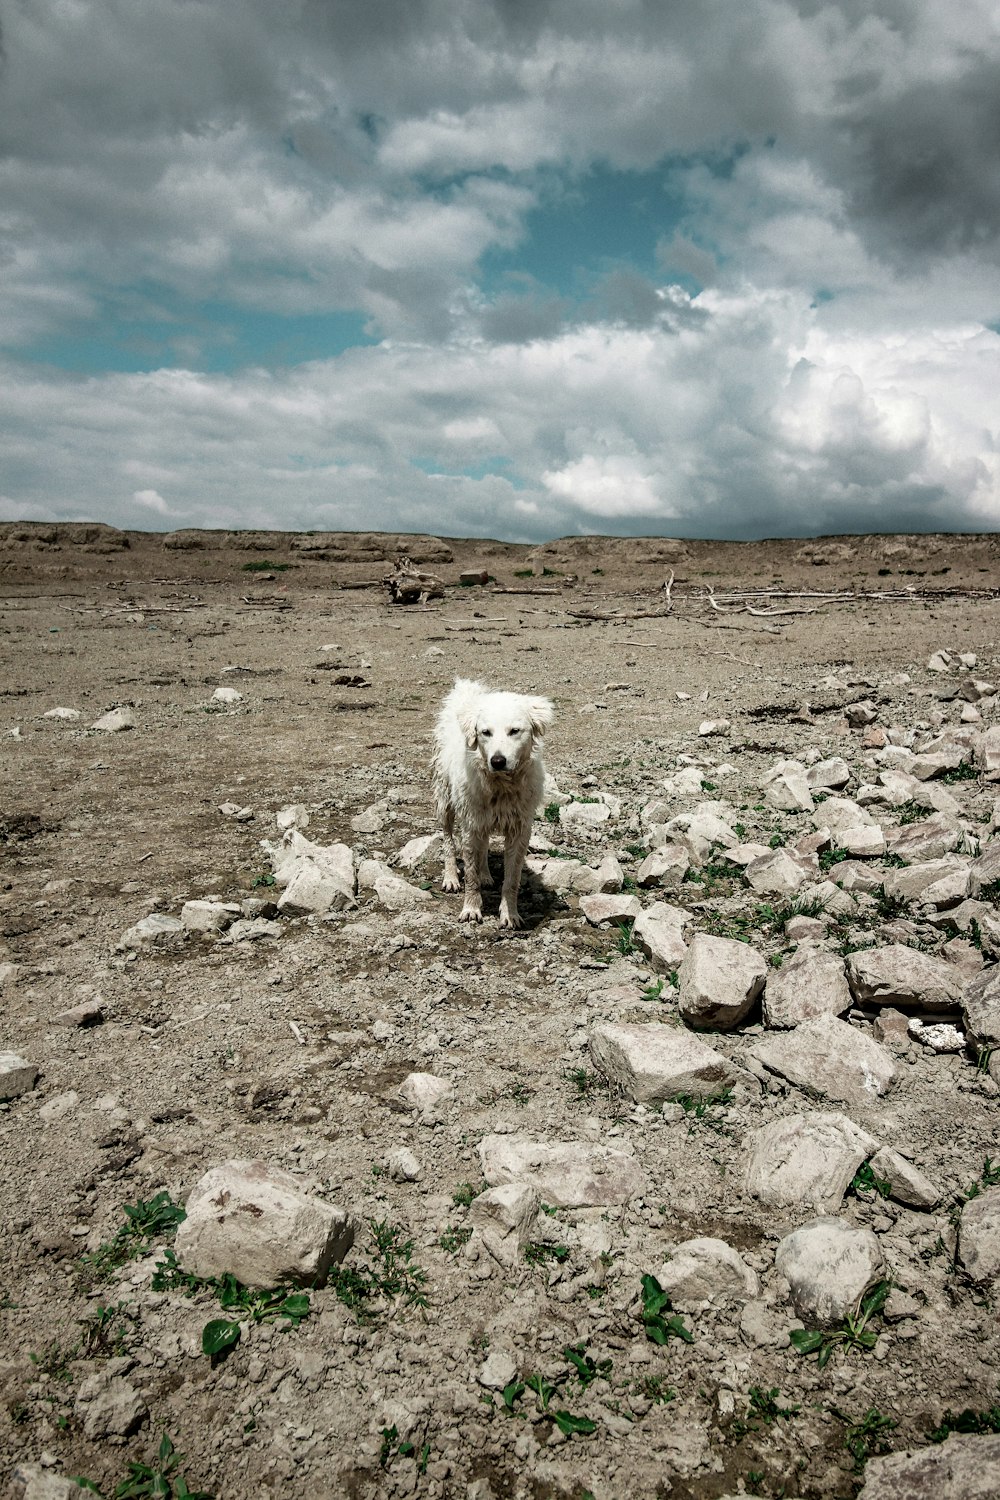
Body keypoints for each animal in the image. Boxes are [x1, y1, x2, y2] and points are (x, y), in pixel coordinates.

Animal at [431, 678, 554, 924]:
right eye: (485, 732)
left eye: (514, 731)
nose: (497, 761)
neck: (501, 786)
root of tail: (466, 689)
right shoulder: (470, 824)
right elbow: (470, 875)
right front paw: (471, 909)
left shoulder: (519, 829)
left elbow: (512, 879)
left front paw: (510, 914)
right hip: (445, 799)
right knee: (448, 840)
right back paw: (451, 877)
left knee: (484, 844)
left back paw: (486, 875)